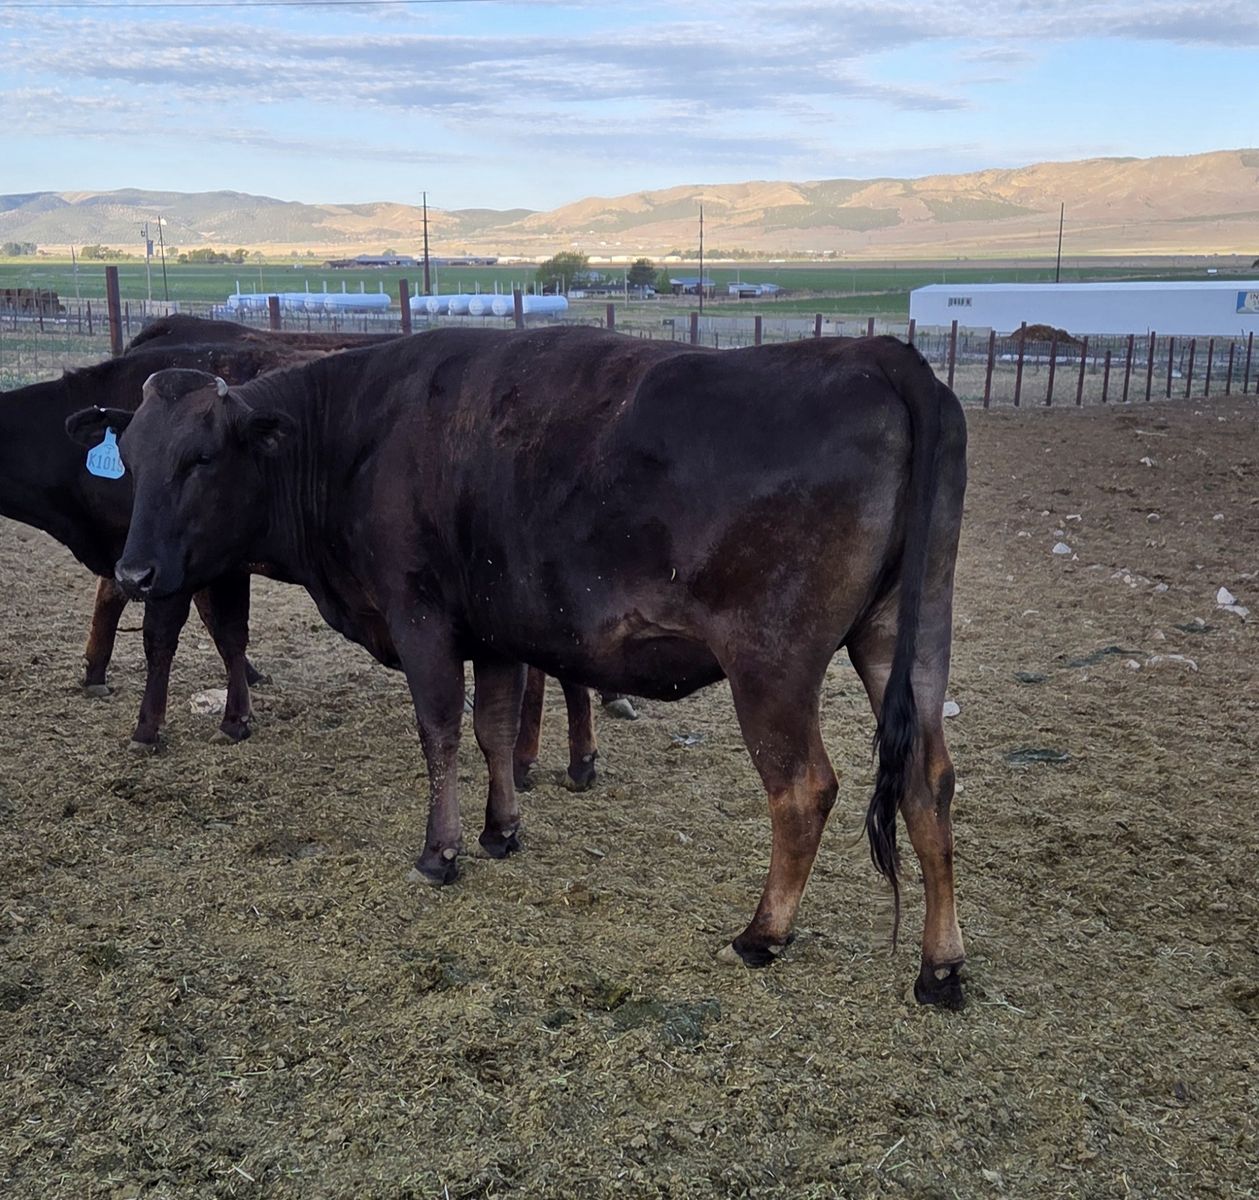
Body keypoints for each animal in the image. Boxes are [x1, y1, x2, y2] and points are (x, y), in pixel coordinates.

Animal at [71, 327, 967, 1005]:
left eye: (201, 459)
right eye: (134, 457)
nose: (135, 573)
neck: (358, 432)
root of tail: (875, 353)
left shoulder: (422, 616)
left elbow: (440, 730)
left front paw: (441, 852)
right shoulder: (495, 631)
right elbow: (495, 729)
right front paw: (501, 828)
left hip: (771, 662)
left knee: (803, 789)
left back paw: (762, 934)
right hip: (906, 639)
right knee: (928, 783)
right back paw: (940, 967)